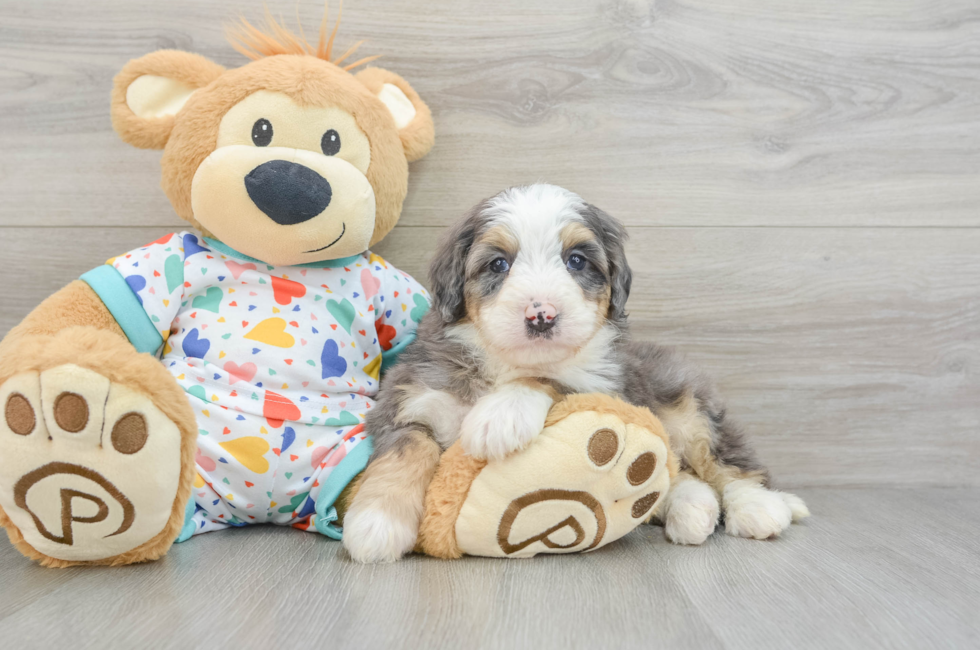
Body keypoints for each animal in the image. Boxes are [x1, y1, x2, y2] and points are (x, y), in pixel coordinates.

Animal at [344, 184, 812, 560]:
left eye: (576, 261)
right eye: (498, 264)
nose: (542, 315)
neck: (503, 362)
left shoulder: (604, 385)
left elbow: (551, 377)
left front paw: (500, 416)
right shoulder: (410, 397)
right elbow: (406, 450)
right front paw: (376, 523)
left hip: (688, 405)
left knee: (727, 463)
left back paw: (760, 507)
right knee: (679, 477)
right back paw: (692, 509)